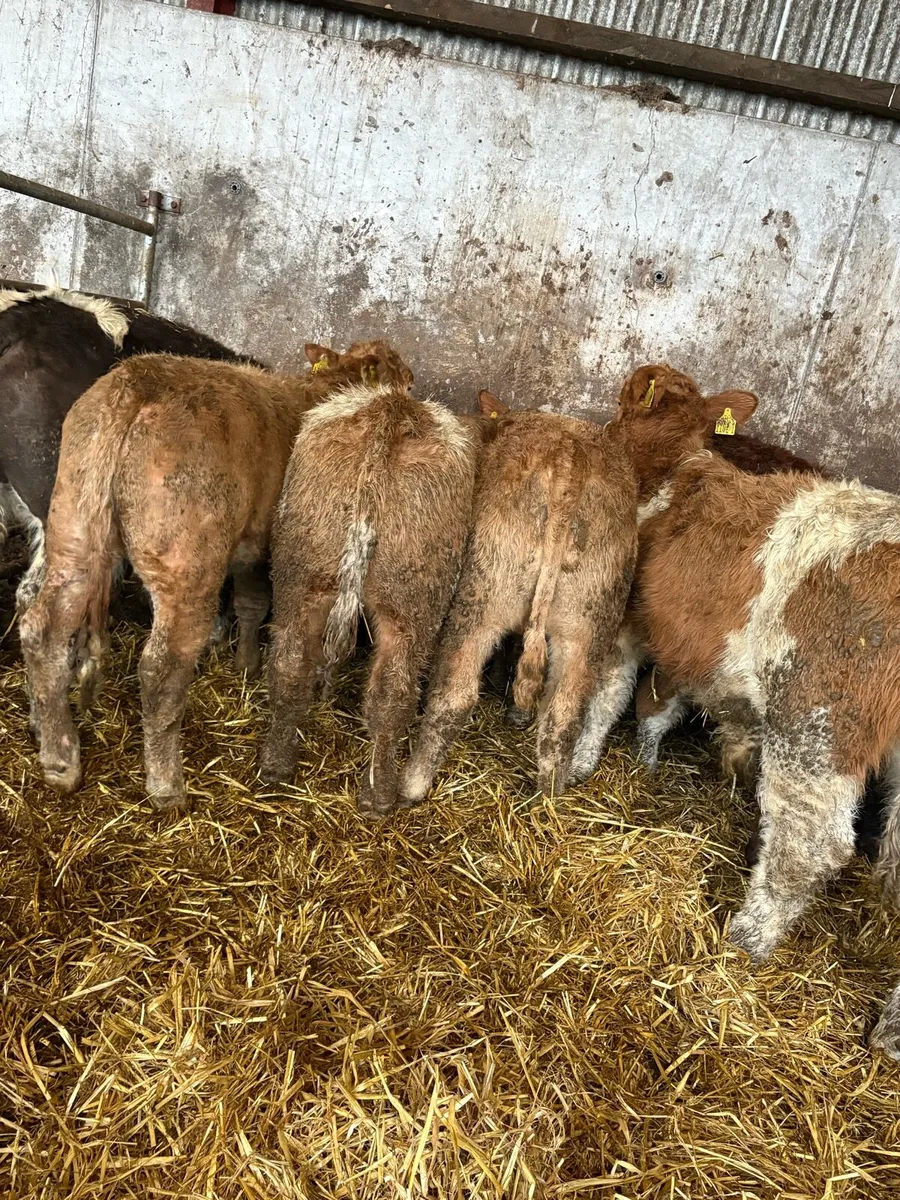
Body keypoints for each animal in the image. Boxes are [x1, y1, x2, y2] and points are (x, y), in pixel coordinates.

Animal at [20, 340, 413, 813]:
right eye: (406, 383)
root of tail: (133, 384)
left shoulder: (250, 545)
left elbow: (249, 602)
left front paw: (244, 663)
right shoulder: (269, 546)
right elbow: (262, 604)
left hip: (74, 530)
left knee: (44, 630)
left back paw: (58, 757)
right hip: (186, 566)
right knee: (161, 666)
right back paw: (166, 786)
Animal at [259, 380, 481, 819]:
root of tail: (389, 410)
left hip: (300, 578)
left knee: (289, 667)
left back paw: (276, 763)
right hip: (414, 607)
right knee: (393, 695)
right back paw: (379, 796)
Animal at [399, 392, 638, 805]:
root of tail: (571, 458)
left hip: (482, 596)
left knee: (454, 697)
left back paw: (411, 785)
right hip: (589, 619)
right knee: (565, 712)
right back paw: (550, 796)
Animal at [582, 362, 900, 1059]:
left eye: (621, 407)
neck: (673, 470)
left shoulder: (626, 617)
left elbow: (606, 693)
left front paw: (579, 766)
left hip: (817, 723)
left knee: (806, 847)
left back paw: (744, 942)